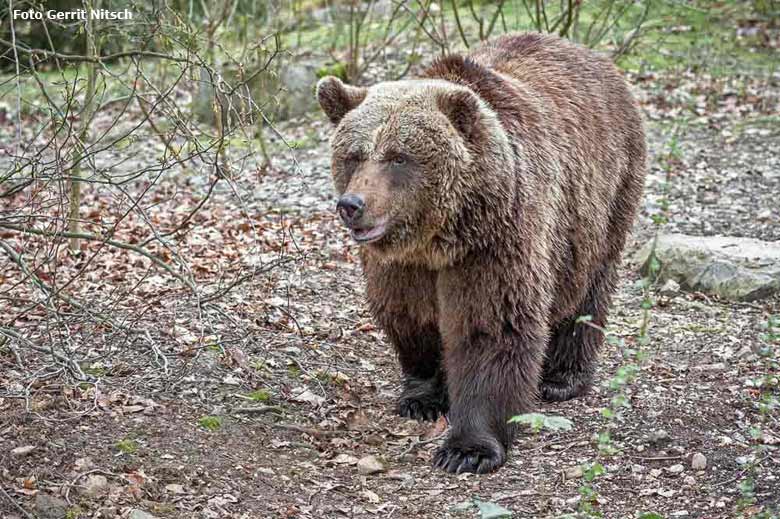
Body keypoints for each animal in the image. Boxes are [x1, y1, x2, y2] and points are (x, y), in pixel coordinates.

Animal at [316, 31, 644, 472]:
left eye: (399, 157)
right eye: (353, 155)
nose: (352, 205)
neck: (438, 235)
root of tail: (588, 53)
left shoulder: (497, 238)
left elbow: (490, 324)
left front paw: (467, 449)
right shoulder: (399, 264)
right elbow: (408, 313)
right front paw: (422, 396)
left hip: (604, 198)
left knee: (589, 285)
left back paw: (562, 378)